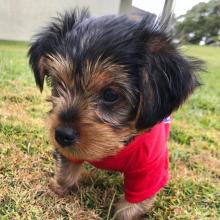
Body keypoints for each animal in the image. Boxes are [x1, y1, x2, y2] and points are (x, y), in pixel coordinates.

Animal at [27, 9, 201, 220]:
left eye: (110, 95)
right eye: (57, 84)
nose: (61, 135)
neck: (116, 145)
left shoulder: (150, 168)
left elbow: (135, 204)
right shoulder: (69, 151)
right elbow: (66, 169)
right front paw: (57, 189)